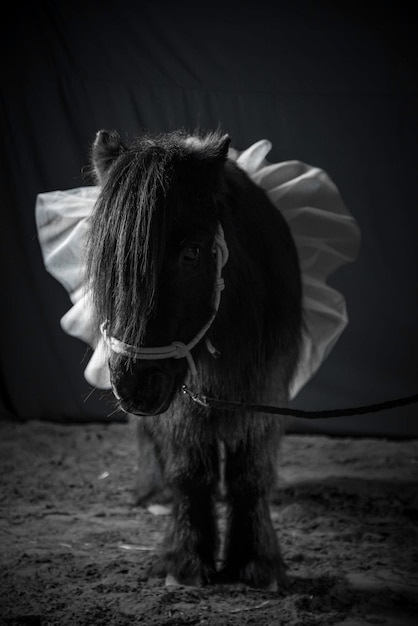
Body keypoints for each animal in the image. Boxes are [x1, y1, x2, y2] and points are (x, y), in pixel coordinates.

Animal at [86, 129, 302, 588]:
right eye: (108, 259)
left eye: (192, 251)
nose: (134, 386)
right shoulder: (177, 399)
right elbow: (187, 471)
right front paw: (184, 560)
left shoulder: (265, 385)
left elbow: (249, 472)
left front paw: (255, 562)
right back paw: (153, 494)